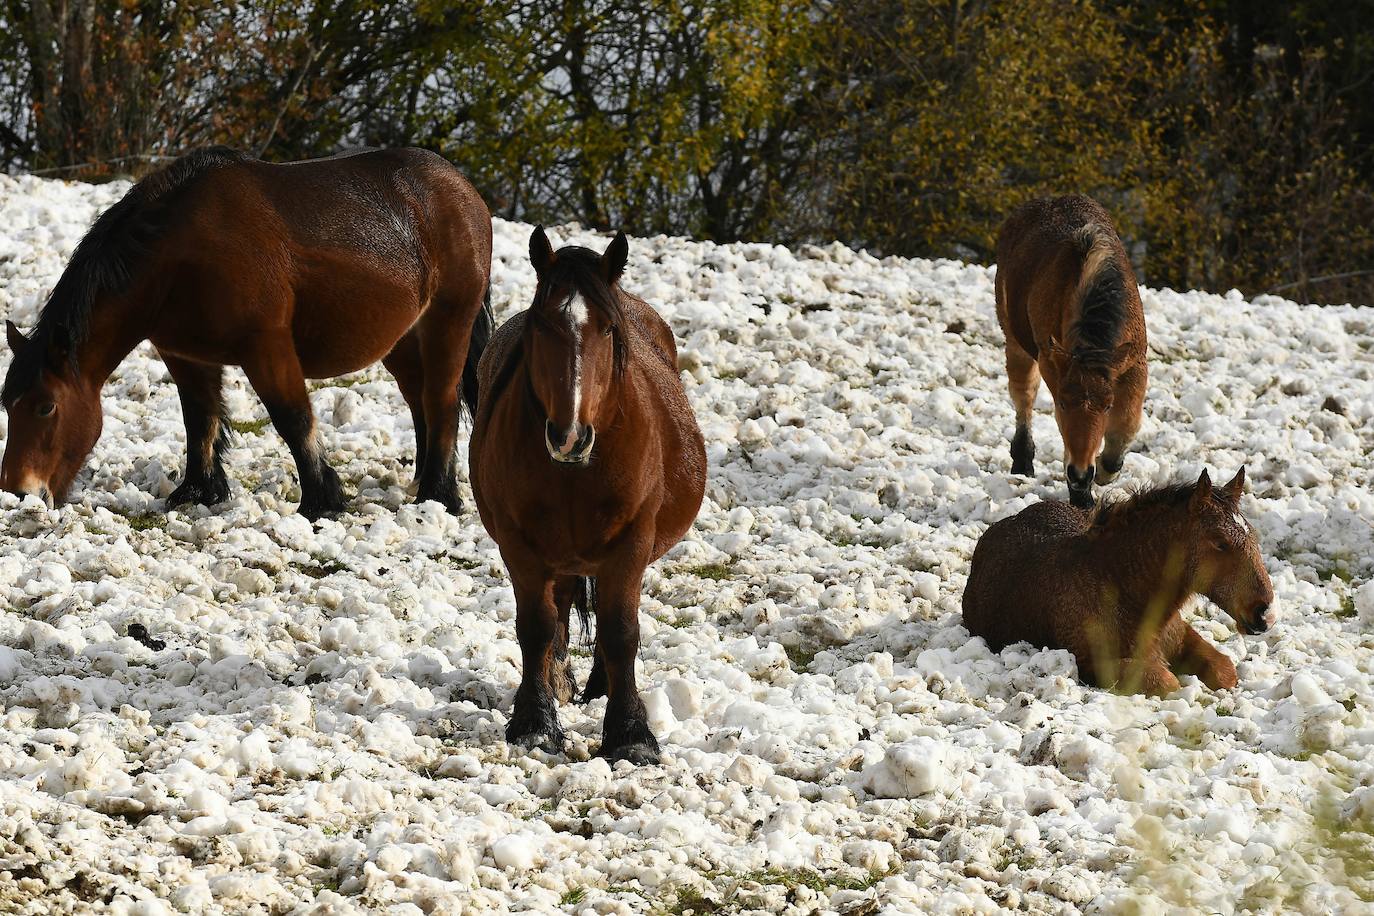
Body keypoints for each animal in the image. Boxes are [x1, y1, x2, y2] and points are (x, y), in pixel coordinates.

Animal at [0, 146, 494, 519]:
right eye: (8, 404)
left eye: (46, 407)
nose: (17, 492)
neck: (178, 257)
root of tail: (461, 188)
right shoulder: (185, 354)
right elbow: (200, 419)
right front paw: (198, 492)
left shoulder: (266, 346)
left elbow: (293, 419)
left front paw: (321, 501)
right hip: (404, 338)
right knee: (418, 399)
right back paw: (423, 481)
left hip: (449, 321)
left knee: (440, 399)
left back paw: (437, 496)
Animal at [472, 227, 708, 769]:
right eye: (542, 324)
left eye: (607, 329)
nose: (569, 436)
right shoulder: (520, 545)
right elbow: (536, 626)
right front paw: (536, 723)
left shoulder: (631, 545)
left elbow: (621, 632)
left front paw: (630, 733)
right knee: (559, 608)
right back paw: (560, 679)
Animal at [961, 469, 1269, 697]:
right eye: (1220, 542)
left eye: (1253, 534)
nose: (1264, 612)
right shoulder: (1091, 664)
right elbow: (1167, 681)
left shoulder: (1181, 636)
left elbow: (1224, 670)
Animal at [1000, 195, 1148, 508]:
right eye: (1063, 404)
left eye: (1107, 406)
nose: (1080, 474)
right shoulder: (1051, 363)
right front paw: (1083, 493)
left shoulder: (1134, 364)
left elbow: (1127, 423)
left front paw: (1105, 469)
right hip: (1014, 340)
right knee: (1023, 395)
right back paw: (1023, 459)